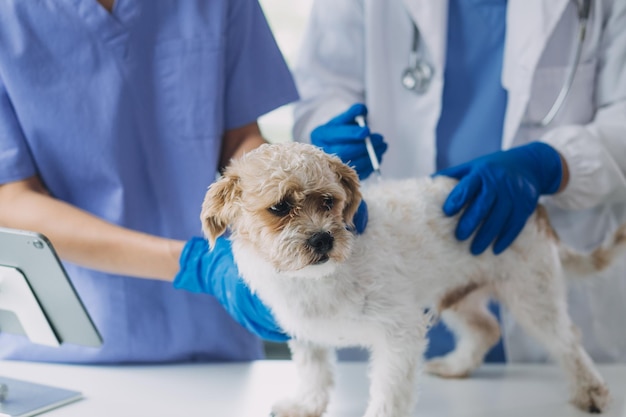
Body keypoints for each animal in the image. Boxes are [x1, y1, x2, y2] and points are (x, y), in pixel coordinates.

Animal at [200, 142, 620, 416]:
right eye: (280, 207)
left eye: (328, 202)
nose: (322, 238)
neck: (319, 281)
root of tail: (533, 201)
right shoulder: (306, 334)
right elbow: (314, 373)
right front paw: (305, 405)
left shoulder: (399, 332)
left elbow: (389, 390)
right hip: (458, 296)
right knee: (486, 329)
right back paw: (456, 366)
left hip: (533, 295)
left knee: (567, 340)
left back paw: (591, 391)